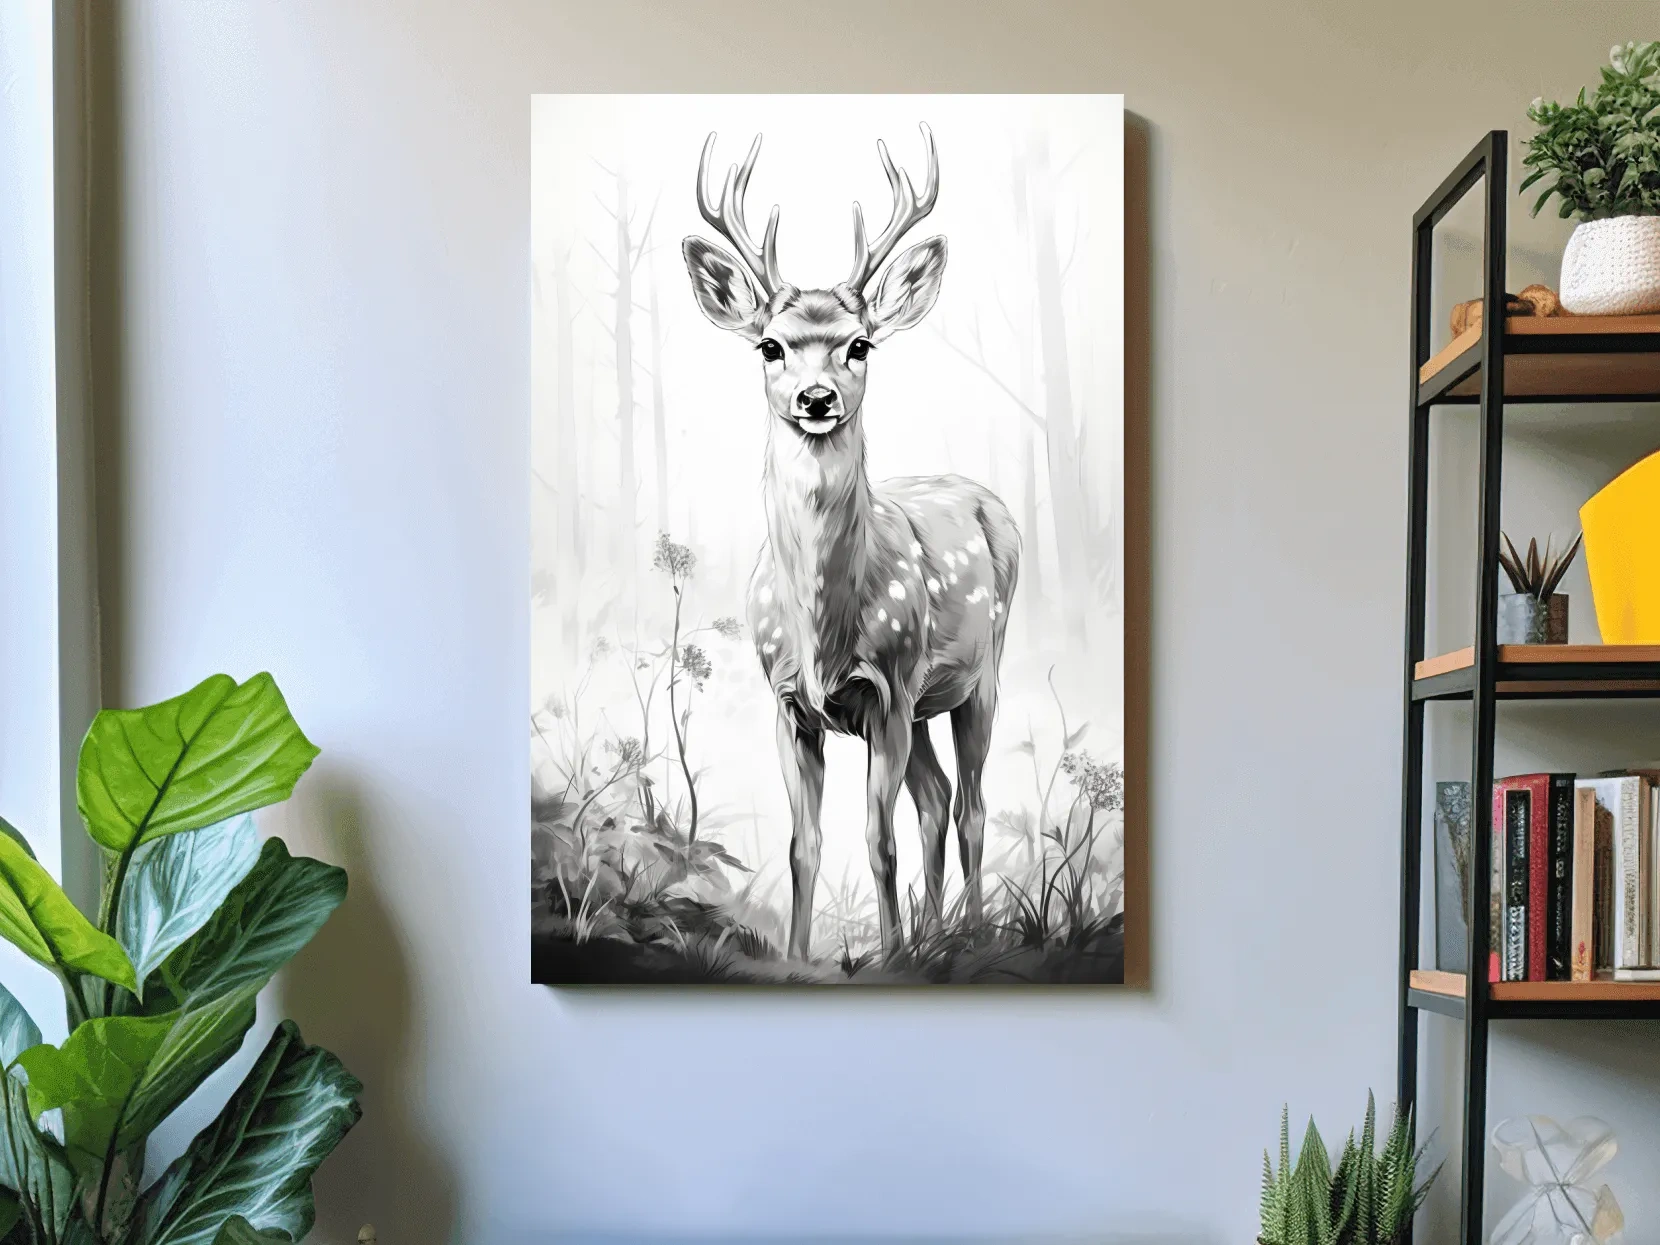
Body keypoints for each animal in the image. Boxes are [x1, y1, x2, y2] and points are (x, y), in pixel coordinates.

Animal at [681, 124, 1020, 961]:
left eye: (860, 345)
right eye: (769, 347)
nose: (816, 397)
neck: (822, 633)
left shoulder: (888, 690)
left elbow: (878, 839)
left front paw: (891, 956)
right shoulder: (789, 704)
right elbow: (803, 845)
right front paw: (799, 958)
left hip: (981, 674)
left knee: (969, 803)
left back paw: (965, 935)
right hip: (927, 703)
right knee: (936, 796)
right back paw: (936, 933)